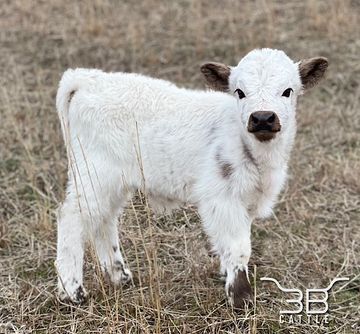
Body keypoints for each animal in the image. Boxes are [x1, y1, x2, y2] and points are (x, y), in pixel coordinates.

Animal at [54, 47, 328, 308]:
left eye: (288, 91)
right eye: (239, 92)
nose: (262, 118)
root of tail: (87, 80)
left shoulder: (247, 200)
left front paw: (226, 275)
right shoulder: (222, 199)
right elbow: (239, 247)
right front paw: (241, 299)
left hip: (112, 182)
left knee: (104, 220)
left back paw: (119, 277)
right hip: (94, 174)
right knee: (72, 217)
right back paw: (72, 292)